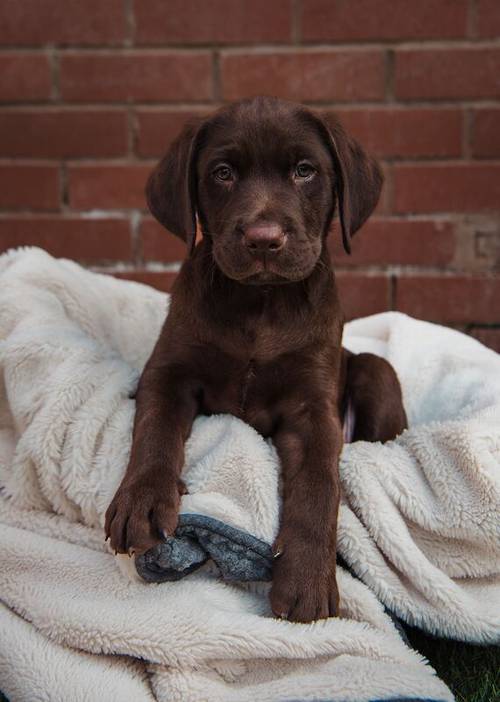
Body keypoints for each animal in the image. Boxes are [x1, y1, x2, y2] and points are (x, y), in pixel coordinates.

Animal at [104, 96, 406, 624]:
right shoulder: (167, 373)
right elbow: (154, 432)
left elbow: (319, 485)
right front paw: (140, 502)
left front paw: (307, 579)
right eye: (223, 173)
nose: (264, 239)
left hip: (376, 371)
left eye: (305, 170)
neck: (261, 302)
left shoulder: (313, 408)